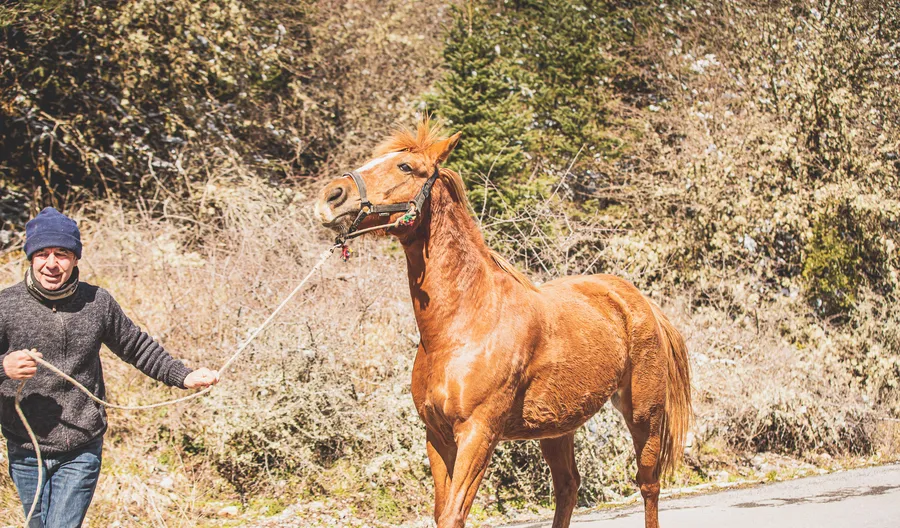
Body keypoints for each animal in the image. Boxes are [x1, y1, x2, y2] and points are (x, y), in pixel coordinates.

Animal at [314, 121, 692, 528]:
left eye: (405, 167)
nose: (331, 196)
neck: (462, 325)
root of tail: (636, 298)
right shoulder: (437, 437)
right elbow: (441, 513)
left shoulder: (478, 433)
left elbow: (454, 514)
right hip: (557, 427)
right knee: (568, 487)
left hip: (644, 414)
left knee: (648, 484)